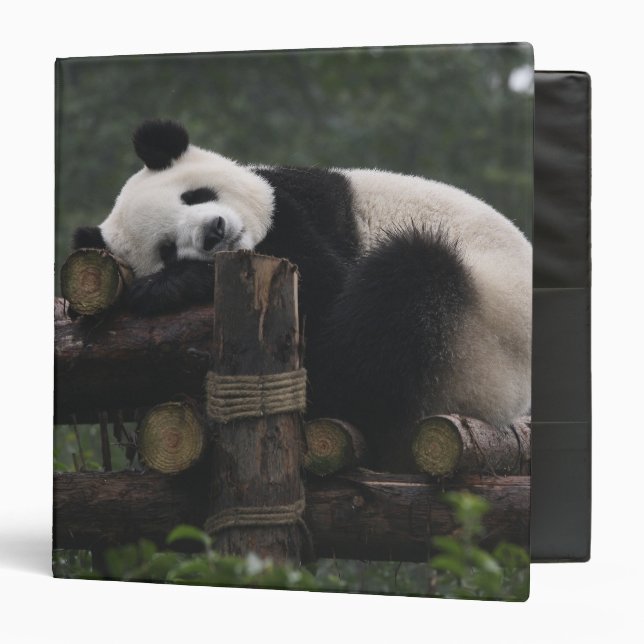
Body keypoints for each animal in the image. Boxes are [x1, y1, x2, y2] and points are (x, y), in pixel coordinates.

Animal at [73, 120, 531, 470]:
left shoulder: (300, 206)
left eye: (196, 195)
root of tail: (508, 407)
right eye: (165, 249)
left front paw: (166, 287)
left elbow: (326, 289)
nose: (214, 232)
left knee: (406, 282)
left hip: (477, 335)